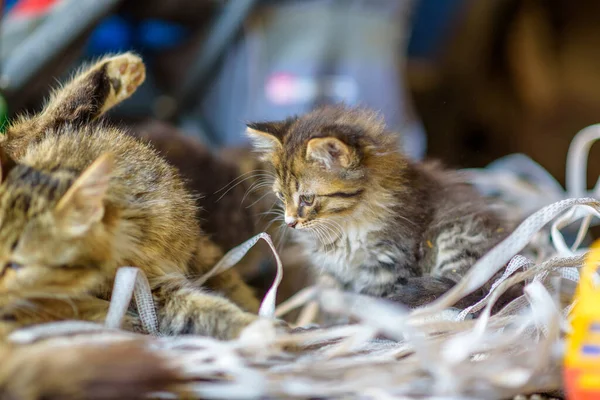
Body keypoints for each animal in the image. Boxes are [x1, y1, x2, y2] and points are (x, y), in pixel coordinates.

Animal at [0, 51, 268, 340]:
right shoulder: (144, 293)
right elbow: (204, 311)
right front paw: (259, 328)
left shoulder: (197, 251)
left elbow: (231, 284)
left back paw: (118, 73)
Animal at [246, 104, 512, 308]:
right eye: (282, 197)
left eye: (307, 199)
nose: (290, 223)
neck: (346, 224)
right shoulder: (334, 274)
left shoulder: (389, 263)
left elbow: (374, 301)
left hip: (456, 237)